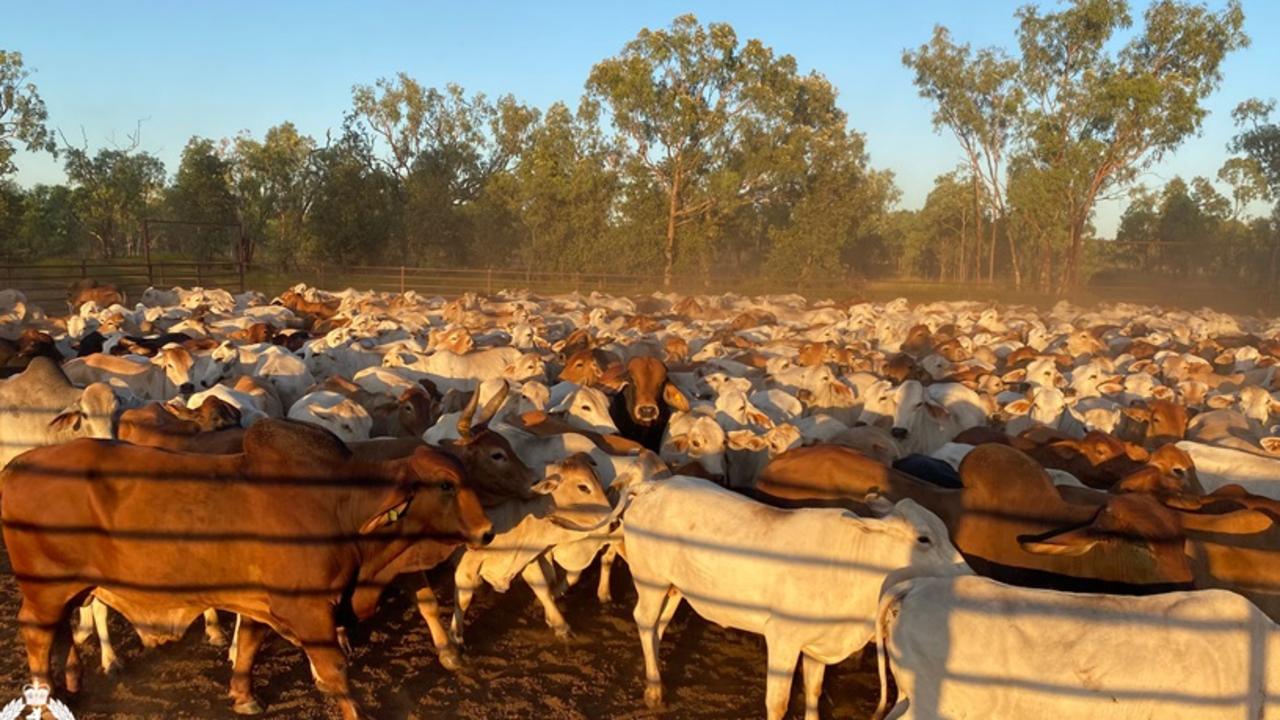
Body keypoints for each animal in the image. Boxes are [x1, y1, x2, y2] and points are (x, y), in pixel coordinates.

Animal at [1, 417, 494, 712]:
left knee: (62, 632)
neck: (341, 504)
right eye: (446, 485)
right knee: (37, 635)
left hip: (68, 590)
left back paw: (71, 685)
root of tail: (17, 464)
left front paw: (243, 696)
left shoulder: (261, 601)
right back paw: (45, 698)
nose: (487, 531)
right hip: (45, 589)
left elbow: (252, 646)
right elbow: (337, 673)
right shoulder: (309, 609)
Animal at [624, 476, 962, 717]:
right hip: (649, 580)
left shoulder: (816, 644)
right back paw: (654, 690)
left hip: (673, 587)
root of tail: (652, 487)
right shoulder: (782, 637)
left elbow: (813, 691)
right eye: (923, 539)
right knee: (644, 620)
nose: (966, 572)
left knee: (658, 626)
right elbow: (778, 702)